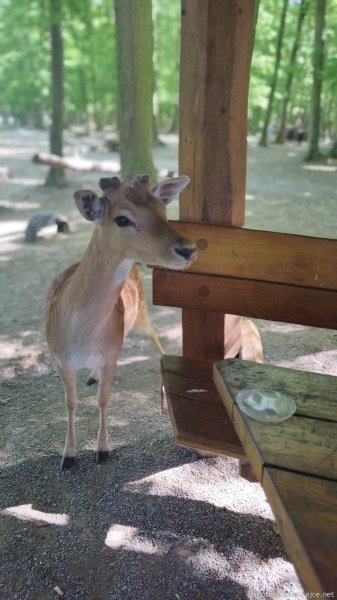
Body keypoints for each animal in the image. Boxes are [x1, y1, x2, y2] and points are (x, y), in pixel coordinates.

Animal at [45, 176, 196, 472]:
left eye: (163, 210)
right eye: (122, 219)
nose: (188, 249)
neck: (82, 337)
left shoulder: (110, 355)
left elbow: (103, 399)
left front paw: (103, 451)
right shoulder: (60, 358)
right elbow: (71, 403)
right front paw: (68, 457)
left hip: (142, 313)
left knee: (154, 335)